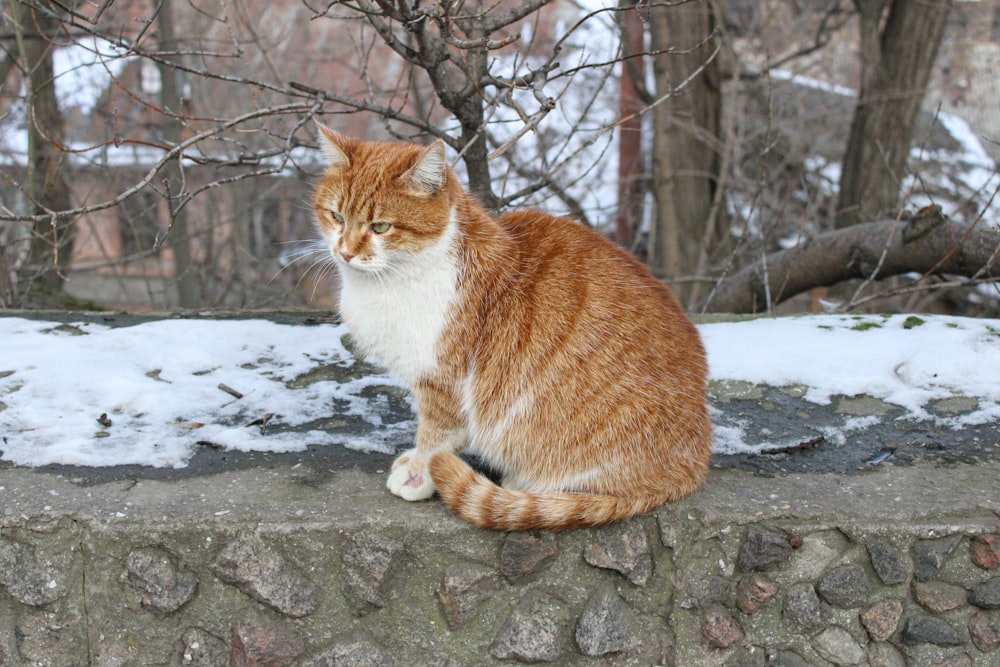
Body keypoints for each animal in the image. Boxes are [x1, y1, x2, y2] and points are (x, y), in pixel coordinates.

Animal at [312, 124, 712, 532]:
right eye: (337, 216)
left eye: (381, 227)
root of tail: (693, 465)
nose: (345, 252)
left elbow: (435, 439)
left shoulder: (444, 384)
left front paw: (418, 476)